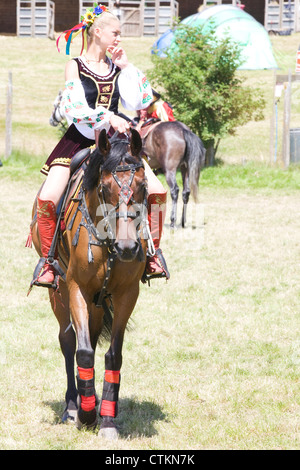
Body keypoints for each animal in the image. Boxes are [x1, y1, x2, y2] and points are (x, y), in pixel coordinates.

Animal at [29, 129, 149, 440]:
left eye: (143, 185)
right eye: (105, 187)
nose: (128, 248)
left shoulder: (126, 294)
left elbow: (113, 355)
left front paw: (106, 419)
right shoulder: (76, 288)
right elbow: (82, 352)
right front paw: (85, 415)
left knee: (92, 339)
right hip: (59, 291)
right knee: (69, 340)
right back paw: (73, 405)